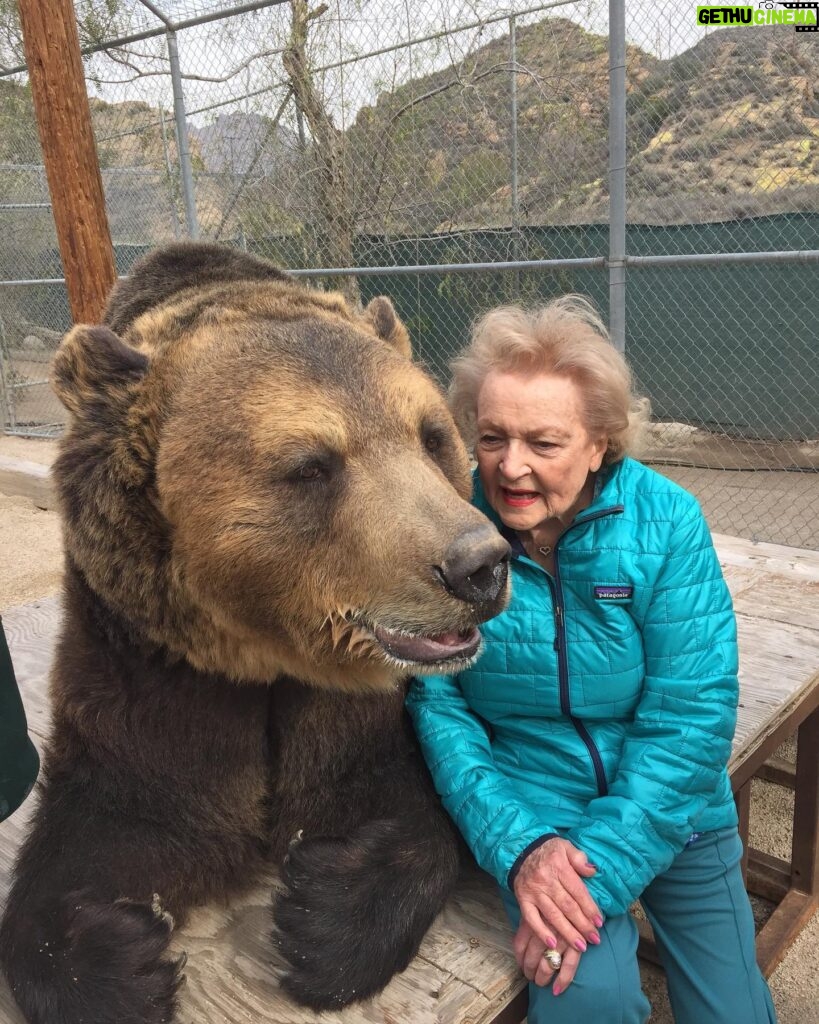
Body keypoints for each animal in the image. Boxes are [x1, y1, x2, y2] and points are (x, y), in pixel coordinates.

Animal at [0, 243, 507, 1024]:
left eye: (431, 437)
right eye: (312, 465)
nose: (477, 565)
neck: (264, 652)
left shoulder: (350, 698)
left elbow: (391, 788)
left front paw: (327, 916)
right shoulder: (146, 664)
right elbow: (123, 814)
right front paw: (119, 963)